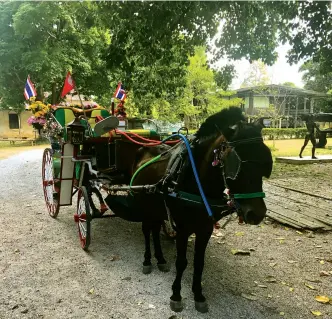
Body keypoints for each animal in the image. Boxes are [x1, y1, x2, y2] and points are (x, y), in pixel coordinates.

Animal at [127, 109, 272, 314]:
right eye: (237, 165)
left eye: (264, 163)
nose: (256, 213)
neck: (195, 182)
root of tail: (143, 150)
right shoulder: (182, 229)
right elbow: (181, 262)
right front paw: (176, 295)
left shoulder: (205, 229)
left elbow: (199, 263)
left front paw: (198, 294)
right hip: (144, 205)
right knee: (147, 231)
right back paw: (147, 260)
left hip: (158, 209)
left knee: (155, 230)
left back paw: (161, 259)